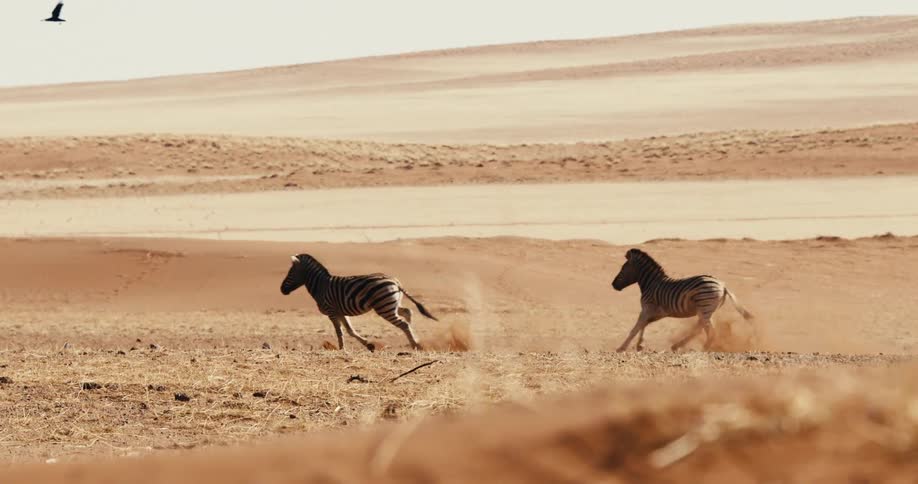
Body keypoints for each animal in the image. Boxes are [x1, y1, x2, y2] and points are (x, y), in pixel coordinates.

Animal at [280, 254, 438, 351]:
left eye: (290, 273)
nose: (282, 290)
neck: (321, 286)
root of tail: (395, 281)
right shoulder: (340, 312)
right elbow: (350, 330)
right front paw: (369, 345)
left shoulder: (331, 312)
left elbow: (339, 332)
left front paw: (342, 349)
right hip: (391, 304)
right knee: (407, 312)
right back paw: (416, 338)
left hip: (384, 307)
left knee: (404, 324)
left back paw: (415, 344)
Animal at [611, 248, 754, 352]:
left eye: (622, 269)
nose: (613, 285)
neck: (651, 283)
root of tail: (723, 285)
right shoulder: (657, 313)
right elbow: (644, 325)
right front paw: (640, 345)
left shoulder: (647, 308)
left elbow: (635, 328)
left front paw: (621, 348)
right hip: (706, 310)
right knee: (700, 328)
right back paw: (678, 346)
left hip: (704, 307)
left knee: (710, 331)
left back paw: (703, 349)